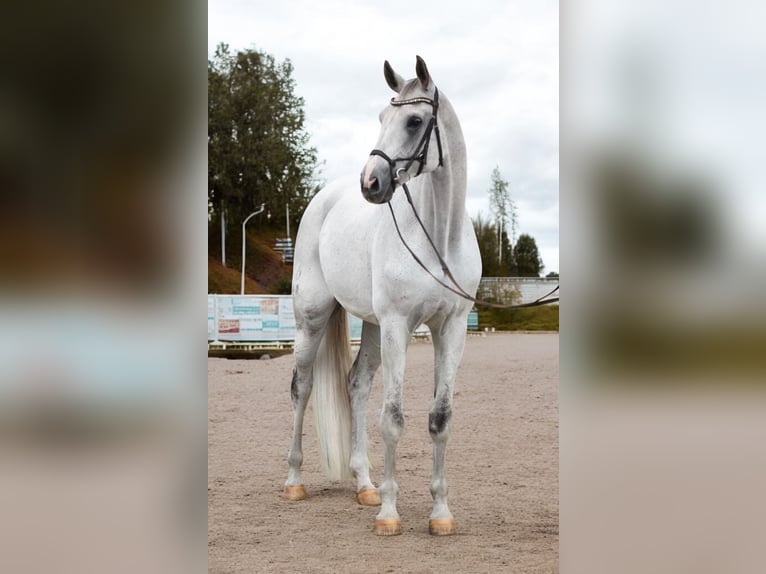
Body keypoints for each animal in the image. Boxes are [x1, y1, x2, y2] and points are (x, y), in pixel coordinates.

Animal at [284, 56, 484, 536]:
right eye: (380, 118)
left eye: (414, 121)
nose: (371, 182)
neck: (437, 239)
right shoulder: (398, 325)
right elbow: (392, 418)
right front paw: (390, 514)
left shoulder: (451, 329)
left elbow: (440, 418)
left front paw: (440, 513)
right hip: (313, 318)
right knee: (302, 386)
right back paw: (295, 481)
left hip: (372, 328)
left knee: (356, 386)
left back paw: (364, 485)